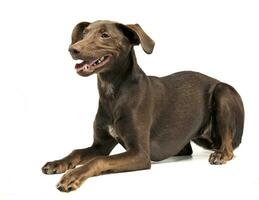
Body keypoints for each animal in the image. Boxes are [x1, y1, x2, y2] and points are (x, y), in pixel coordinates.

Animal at [41, 19, 245, 192]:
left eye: (104, 35)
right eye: (84, 33)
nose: (72, 49)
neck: (113, 94)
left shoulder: (139, 153)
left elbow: (99, 161)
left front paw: (72, 176)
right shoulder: (100, 145)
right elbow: (77, 152)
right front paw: (58, 163)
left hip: (223, 92)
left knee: (228, 147)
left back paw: (220, 154)